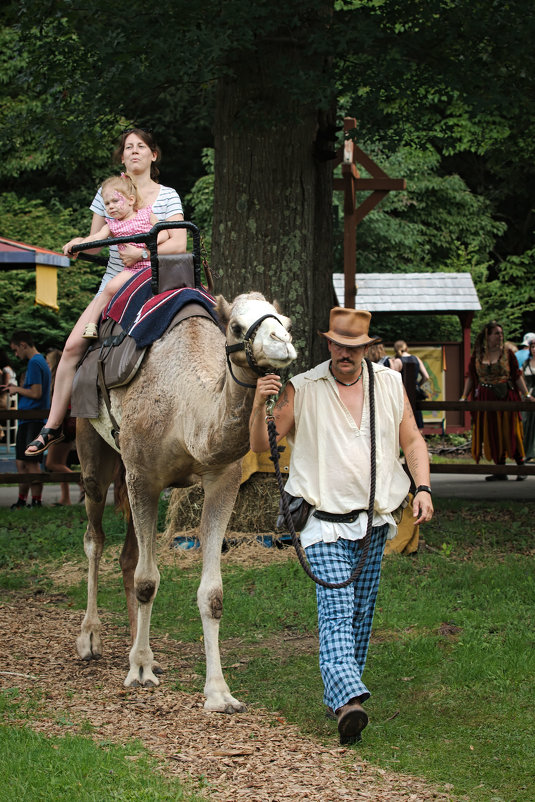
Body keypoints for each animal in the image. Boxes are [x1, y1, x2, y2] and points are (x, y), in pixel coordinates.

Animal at [74, 290, 298, 708]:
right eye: (236, 327)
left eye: (286, 322)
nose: (282, 343)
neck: (185, 410)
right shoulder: (143, 476)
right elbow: (148, 580)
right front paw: (139, 671)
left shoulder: (221, 479)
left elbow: (212, 594)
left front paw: (219, 693)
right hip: (92, 447)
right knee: (94, 538)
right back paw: (91, 639)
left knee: (128, 554)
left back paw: (141, 649)